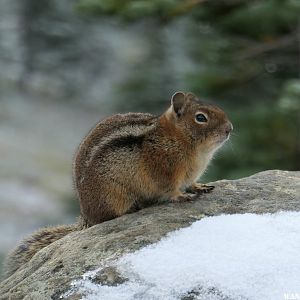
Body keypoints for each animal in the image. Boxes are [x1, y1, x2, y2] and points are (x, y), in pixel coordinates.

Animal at [4, 92, 232, 278]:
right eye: (201, 118)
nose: (230, 129)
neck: (179, 138)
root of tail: (86, 217)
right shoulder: (164, 171)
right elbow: (171, 190)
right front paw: (182, 196)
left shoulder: (189, 176)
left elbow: (192, 183)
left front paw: (200, 187)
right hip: (114, 196)